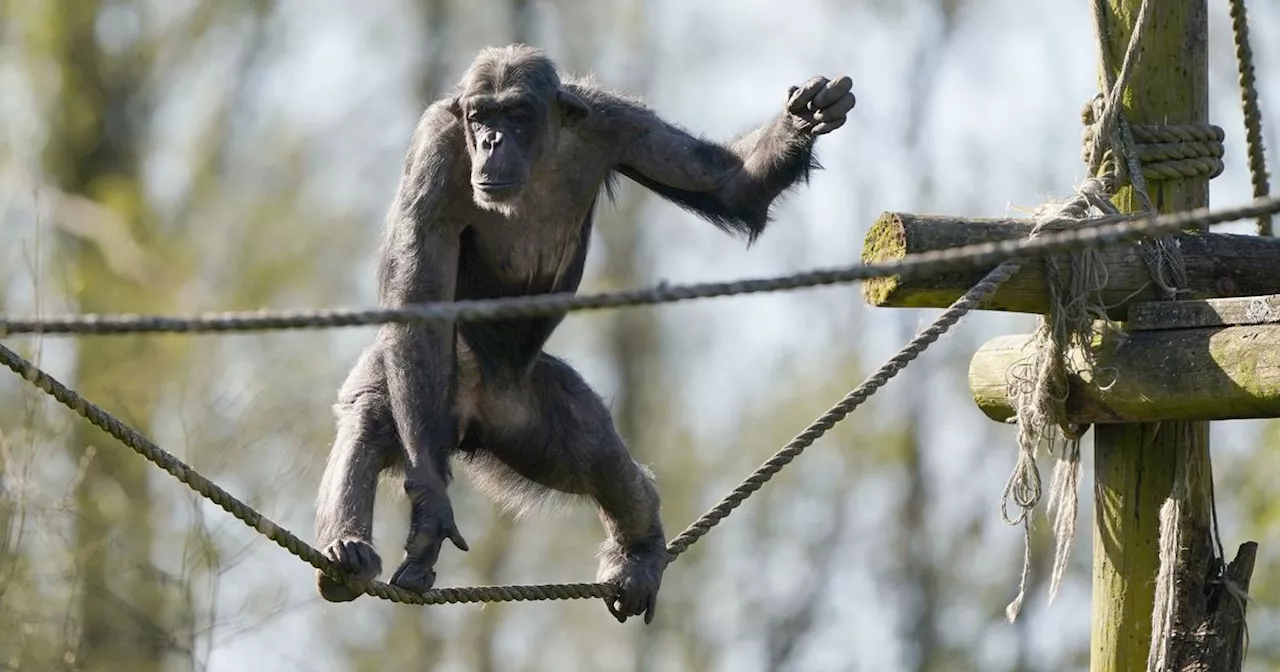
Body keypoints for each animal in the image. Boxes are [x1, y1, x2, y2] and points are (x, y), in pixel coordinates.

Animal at [316, 43, 860, 624]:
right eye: (480, 116)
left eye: (514, 114)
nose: (490, 140)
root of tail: (471, 425)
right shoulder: (435, 149)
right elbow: (418, 300)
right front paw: (431, 511)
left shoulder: (620, 123)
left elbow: (725, 182)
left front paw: (808, 112)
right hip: (425, 393)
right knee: (374, 415)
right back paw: (347, 552)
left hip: (537, 417)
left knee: (602, 460)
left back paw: (640, 552)